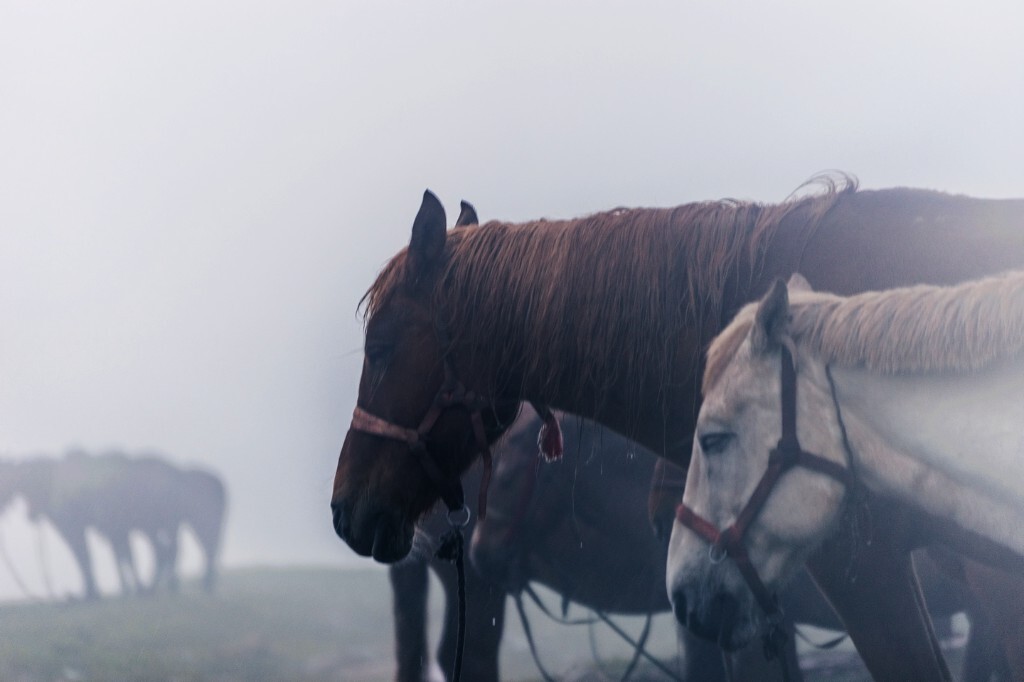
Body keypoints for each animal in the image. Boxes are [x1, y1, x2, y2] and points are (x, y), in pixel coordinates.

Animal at [0, 450, 226, 593]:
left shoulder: (77, 529)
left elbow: (85, 557)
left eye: (21, 480)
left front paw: (92, 592)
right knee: (173, 551)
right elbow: (118, 557)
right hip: (163, 526)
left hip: (162, 525)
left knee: (172, 551)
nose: (31, 515)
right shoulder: (113, 531)